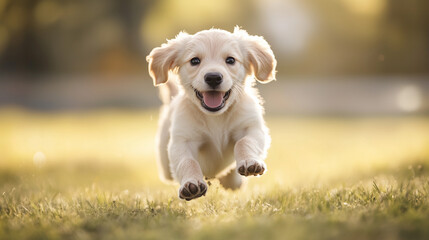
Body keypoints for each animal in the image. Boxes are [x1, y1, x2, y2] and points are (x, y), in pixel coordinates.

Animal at [145, 26, 276, 201]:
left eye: (230, 60)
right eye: (194, 61)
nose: (213, 77)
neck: (216, 117)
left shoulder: (251, 127)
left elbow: (244, 142)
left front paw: (250, 162)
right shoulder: (182, 140)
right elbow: (187, 161)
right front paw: (190, 184)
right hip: (165, 166)